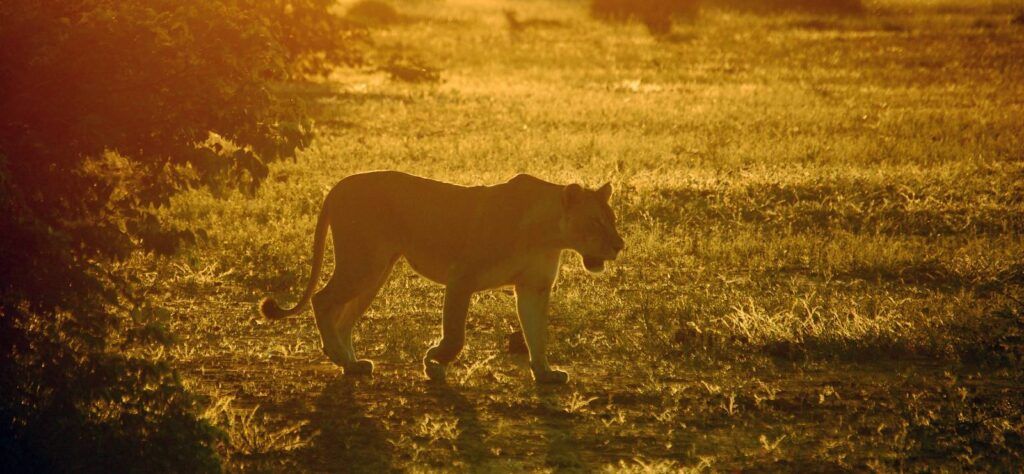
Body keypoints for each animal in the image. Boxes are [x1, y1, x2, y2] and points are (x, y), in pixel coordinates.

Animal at [260, 171, 624, 384]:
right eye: (595, 222)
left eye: (613, 219)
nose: (620, 245)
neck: (547, 236)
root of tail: (339, 185)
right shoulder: (461, 277)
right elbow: (455, 335)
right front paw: (434, 361)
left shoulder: (534, 287)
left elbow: (537, 333)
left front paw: (545, 373)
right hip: (362, 264)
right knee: (321, 300)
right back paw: (338, 357)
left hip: (375, 271)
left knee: (343, 317)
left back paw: (352, 364)